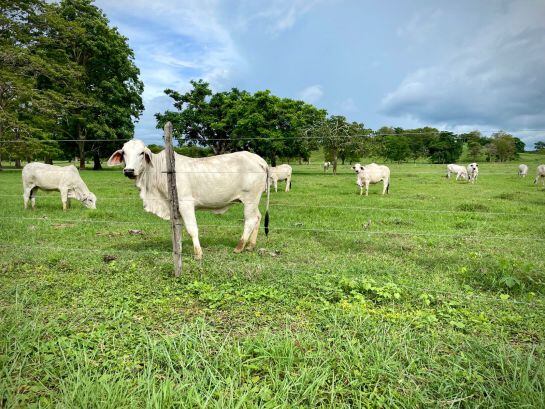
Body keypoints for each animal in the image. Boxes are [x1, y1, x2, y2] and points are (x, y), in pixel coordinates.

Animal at [108, 139, 270, 259]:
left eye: (141, 153)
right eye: (124, 152)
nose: (128, 170)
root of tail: (259, 160)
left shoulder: (186, 204)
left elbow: (192, 229)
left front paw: (198, 254)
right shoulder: (175, 207)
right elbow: (178, 229)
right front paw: (178, 249)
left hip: (250, 199)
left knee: (250, 220)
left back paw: (239, 247)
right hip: (254, 200)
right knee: (258, 217)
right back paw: (250, 246)